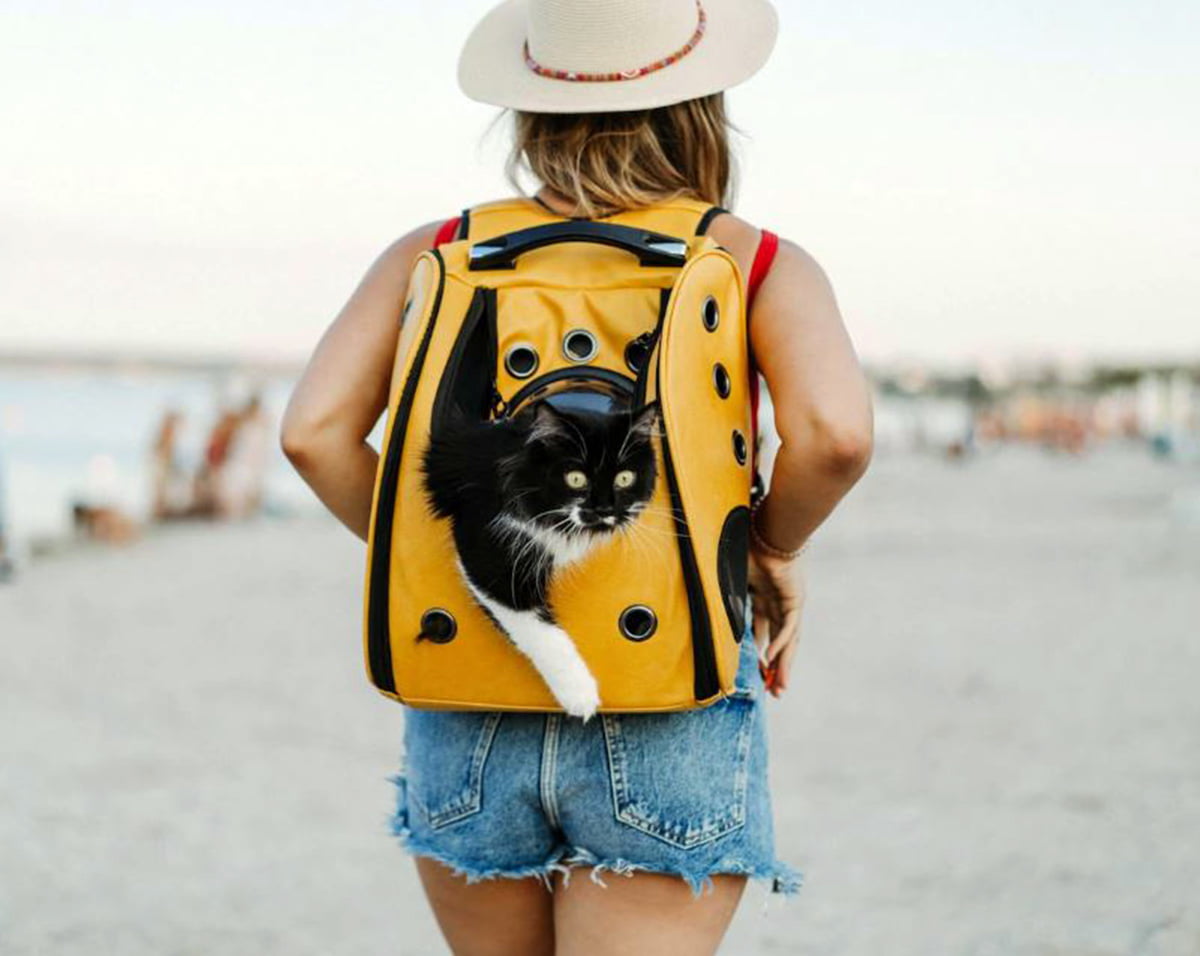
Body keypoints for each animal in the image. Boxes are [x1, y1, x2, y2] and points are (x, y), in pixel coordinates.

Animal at [422, 393, 662, 714]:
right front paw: (579, 694)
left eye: (624, 478)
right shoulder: (485, 546)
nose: (604, 508)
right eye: (576, 479)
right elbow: (534, 627)